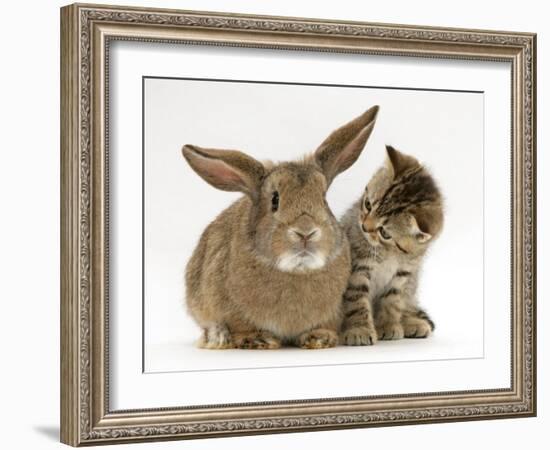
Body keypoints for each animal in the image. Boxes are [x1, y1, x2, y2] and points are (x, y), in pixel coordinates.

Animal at [181, 104, 380, 348]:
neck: (297, 270)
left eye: (324, 199)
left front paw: (319, 338)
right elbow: (240, 327)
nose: (305, 232)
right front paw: (258, 340)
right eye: (275, 200)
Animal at [340, 146, 444, 346]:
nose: (364, 227)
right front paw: (360, 329)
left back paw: (412, 322)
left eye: (384, 232)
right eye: (368, 204)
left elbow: (392, 301)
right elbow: (356, 299)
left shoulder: (404, 274)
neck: (390, 252)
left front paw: (388, 326)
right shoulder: (358, 268)